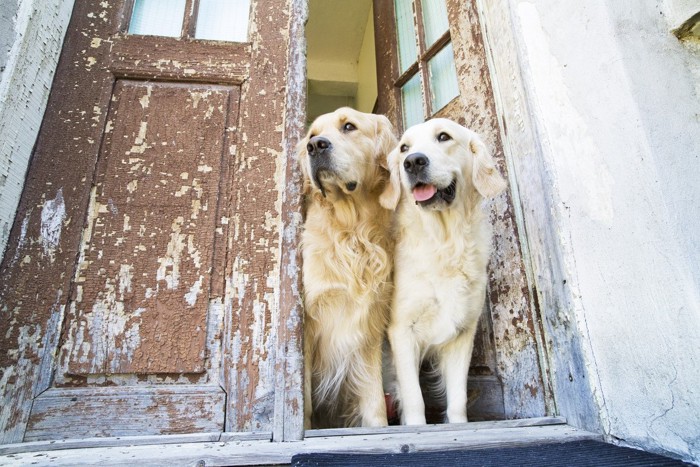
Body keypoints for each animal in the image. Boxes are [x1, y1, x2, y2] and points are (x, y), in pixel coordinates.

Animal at [298, 108, 396, 430]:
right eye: (312, 134)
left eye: (349, 126)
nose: (315, 146)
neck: (351, 231)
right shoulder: (307, 319)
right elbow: (303, 401)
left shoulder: (370, 326)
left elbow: (375, 402)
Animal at [380, 119, 506, 426]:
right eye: (404, 148)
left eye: (444, 137)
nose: (413, 162)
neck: (444, 242)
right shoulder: (402, 330)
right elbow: (414, 398)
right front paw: (416, 427)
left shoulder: (463, 333)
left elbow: (458, 398)